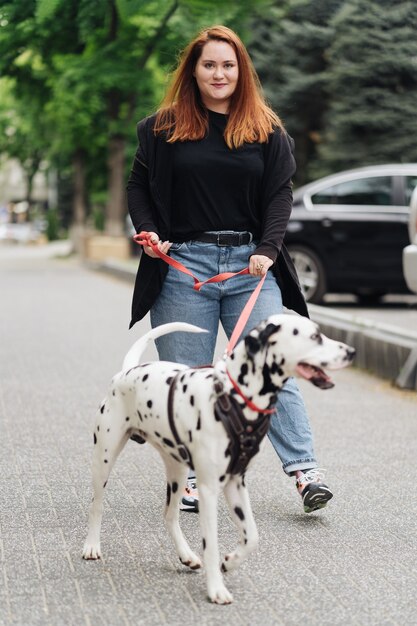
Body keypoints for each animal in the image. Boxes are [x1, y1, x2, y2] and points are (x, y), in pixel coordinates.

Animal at [82, 314, 354, 604]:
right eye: (314, 336)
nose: (352, 352)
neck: (234, 397)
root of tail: (127, 372)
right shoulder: (210, 489)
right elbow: (211, 545)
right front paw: (216, 588)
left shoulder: (236, 484)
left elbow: (252, 537)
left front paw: (231, 561)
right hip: (104, 459)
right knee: (96, 505)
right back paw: (91, 546)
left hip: (177, 472)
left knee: (169, 515)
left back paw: (187, 556)